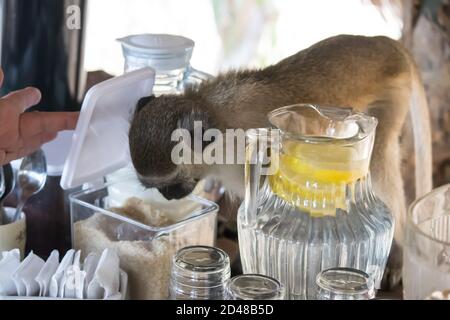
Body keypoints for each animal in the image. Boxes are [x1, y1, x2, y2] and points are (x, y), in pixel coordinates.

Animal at [129, 35, 432, 284]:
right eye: (154, 187)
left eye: (171, 181)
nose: (168, 196)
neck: (218, 121)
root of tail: (384, 43)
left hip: (389, 101)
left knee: (379, 162)